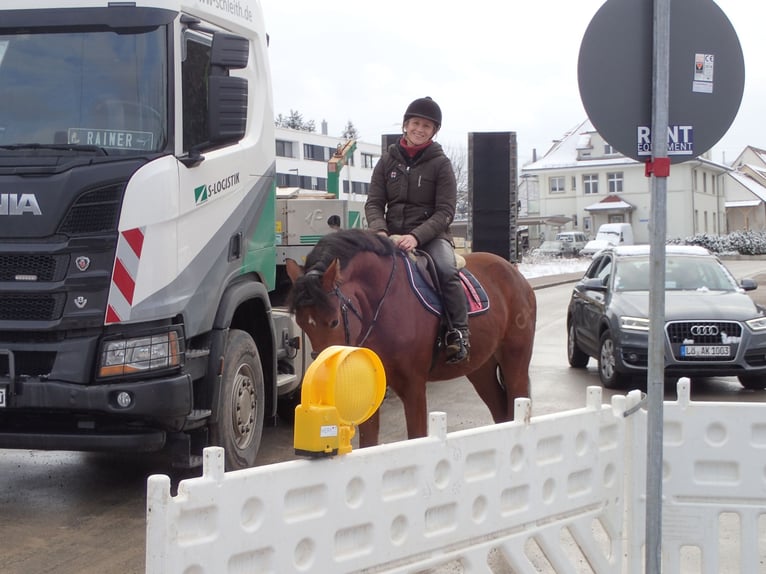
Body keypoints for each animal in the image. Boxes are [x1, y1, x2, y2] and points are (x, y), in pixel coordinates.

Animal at [288, 230, 540, 450]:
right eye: (301, 323)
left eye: (334, 322)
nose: (322, 378)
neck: (384, 304)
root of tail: (514, 273)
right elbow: (369, 442)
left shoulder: (414, 387)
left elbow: (416, 437)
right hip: (481, 369)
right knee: (501, 413)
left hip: (514, 362)